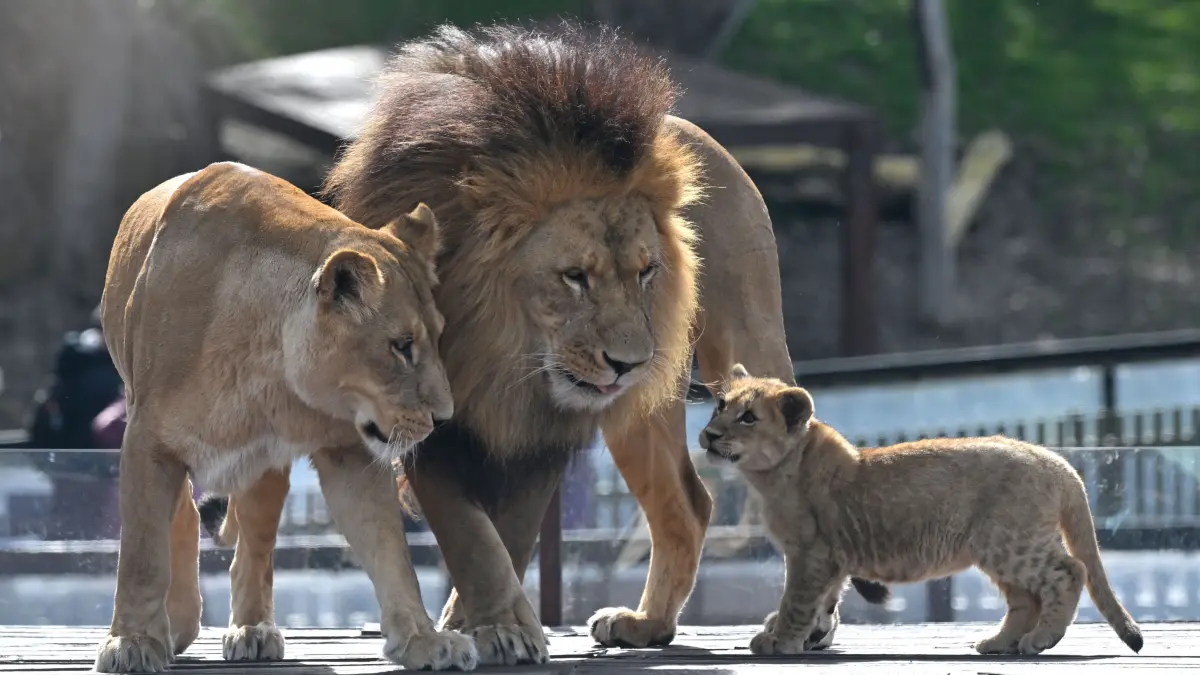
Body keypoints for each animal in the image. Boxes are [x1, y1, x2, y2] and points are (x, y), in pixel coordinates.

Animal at [93, 162, 476, 673]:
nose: (443, 418)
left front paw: (423, 640)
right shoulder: (147, 440)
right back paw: (178, 624)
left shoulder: (347, 452)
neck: (268, 358)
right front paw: (132, 641)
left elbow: (391, 552)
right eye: (401, 346)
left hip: (263, 465)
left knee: (253, 550)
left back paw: (253, 630)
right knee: (183, 517)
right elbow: (141, 552)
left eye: (436, 337)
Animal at [701, 364, 1144, 657]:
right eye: (719, 405)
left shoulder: (811, 552)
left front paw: (782, 640)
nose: (709, 434)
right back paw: (1000, 643)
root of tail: (1058, 462)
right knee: (1026, 599)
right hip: (999, 547)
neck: (773, 474)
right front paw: (810, 635)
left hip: (1010, 541)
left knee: (1070, 572)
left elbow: (796, 599)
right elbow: (824, 600)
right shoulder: (831, 556)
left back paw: (1041, 640)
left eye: (749, 417)